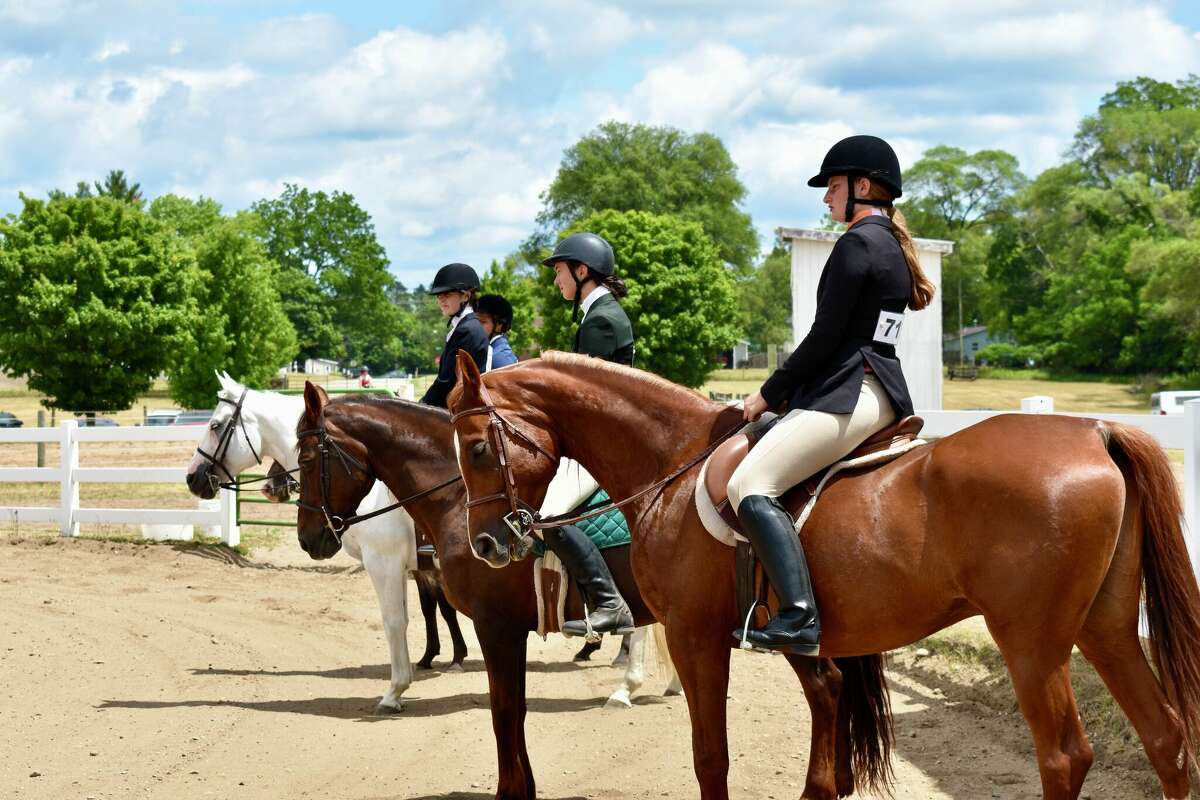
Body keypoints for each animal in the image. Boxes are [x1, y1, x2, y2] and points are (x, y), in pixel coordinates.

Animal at [183, 376, 681, 714]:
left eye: (215, 426)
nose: (193, 479)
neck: (455, 489)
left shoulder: (386, 563)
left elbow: (397, 621)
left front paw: (396, 688)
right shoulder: (423, 566)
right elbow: (432, 608)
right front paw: (443, 657)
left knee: (636, 629)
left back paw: (625, 685)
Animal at [448, 352, 1200, 800]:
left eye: (479, 447)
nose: (485, 543)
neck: (672, 462)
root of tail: (1095, 431)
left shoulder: (694, 636)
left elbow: (710, 754)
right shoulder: (797, 634)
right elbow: (826, 708)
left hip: (1032, 643)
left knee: (1065, 757)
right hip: (1105, 627)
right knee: (1165, 737)